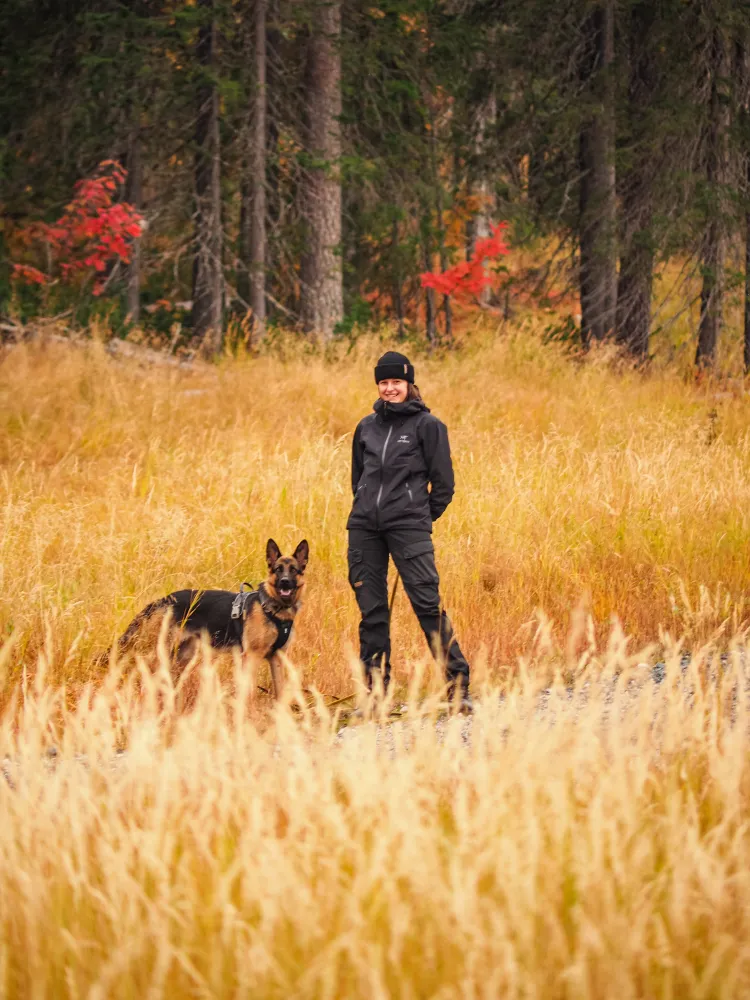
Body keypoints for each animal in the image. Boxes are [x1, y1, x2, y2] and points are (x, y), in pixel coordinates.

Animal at [106, 540, 308, 696]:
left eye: (294, 570)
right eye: (278, 569)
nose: (285, 582)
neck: (275, 609)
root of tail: (164, 599)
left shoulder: (277, 659)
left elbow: (280, 693)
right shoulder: (251, 656)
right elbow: (248, 693)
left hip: (182, 658)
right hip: (162, 654)